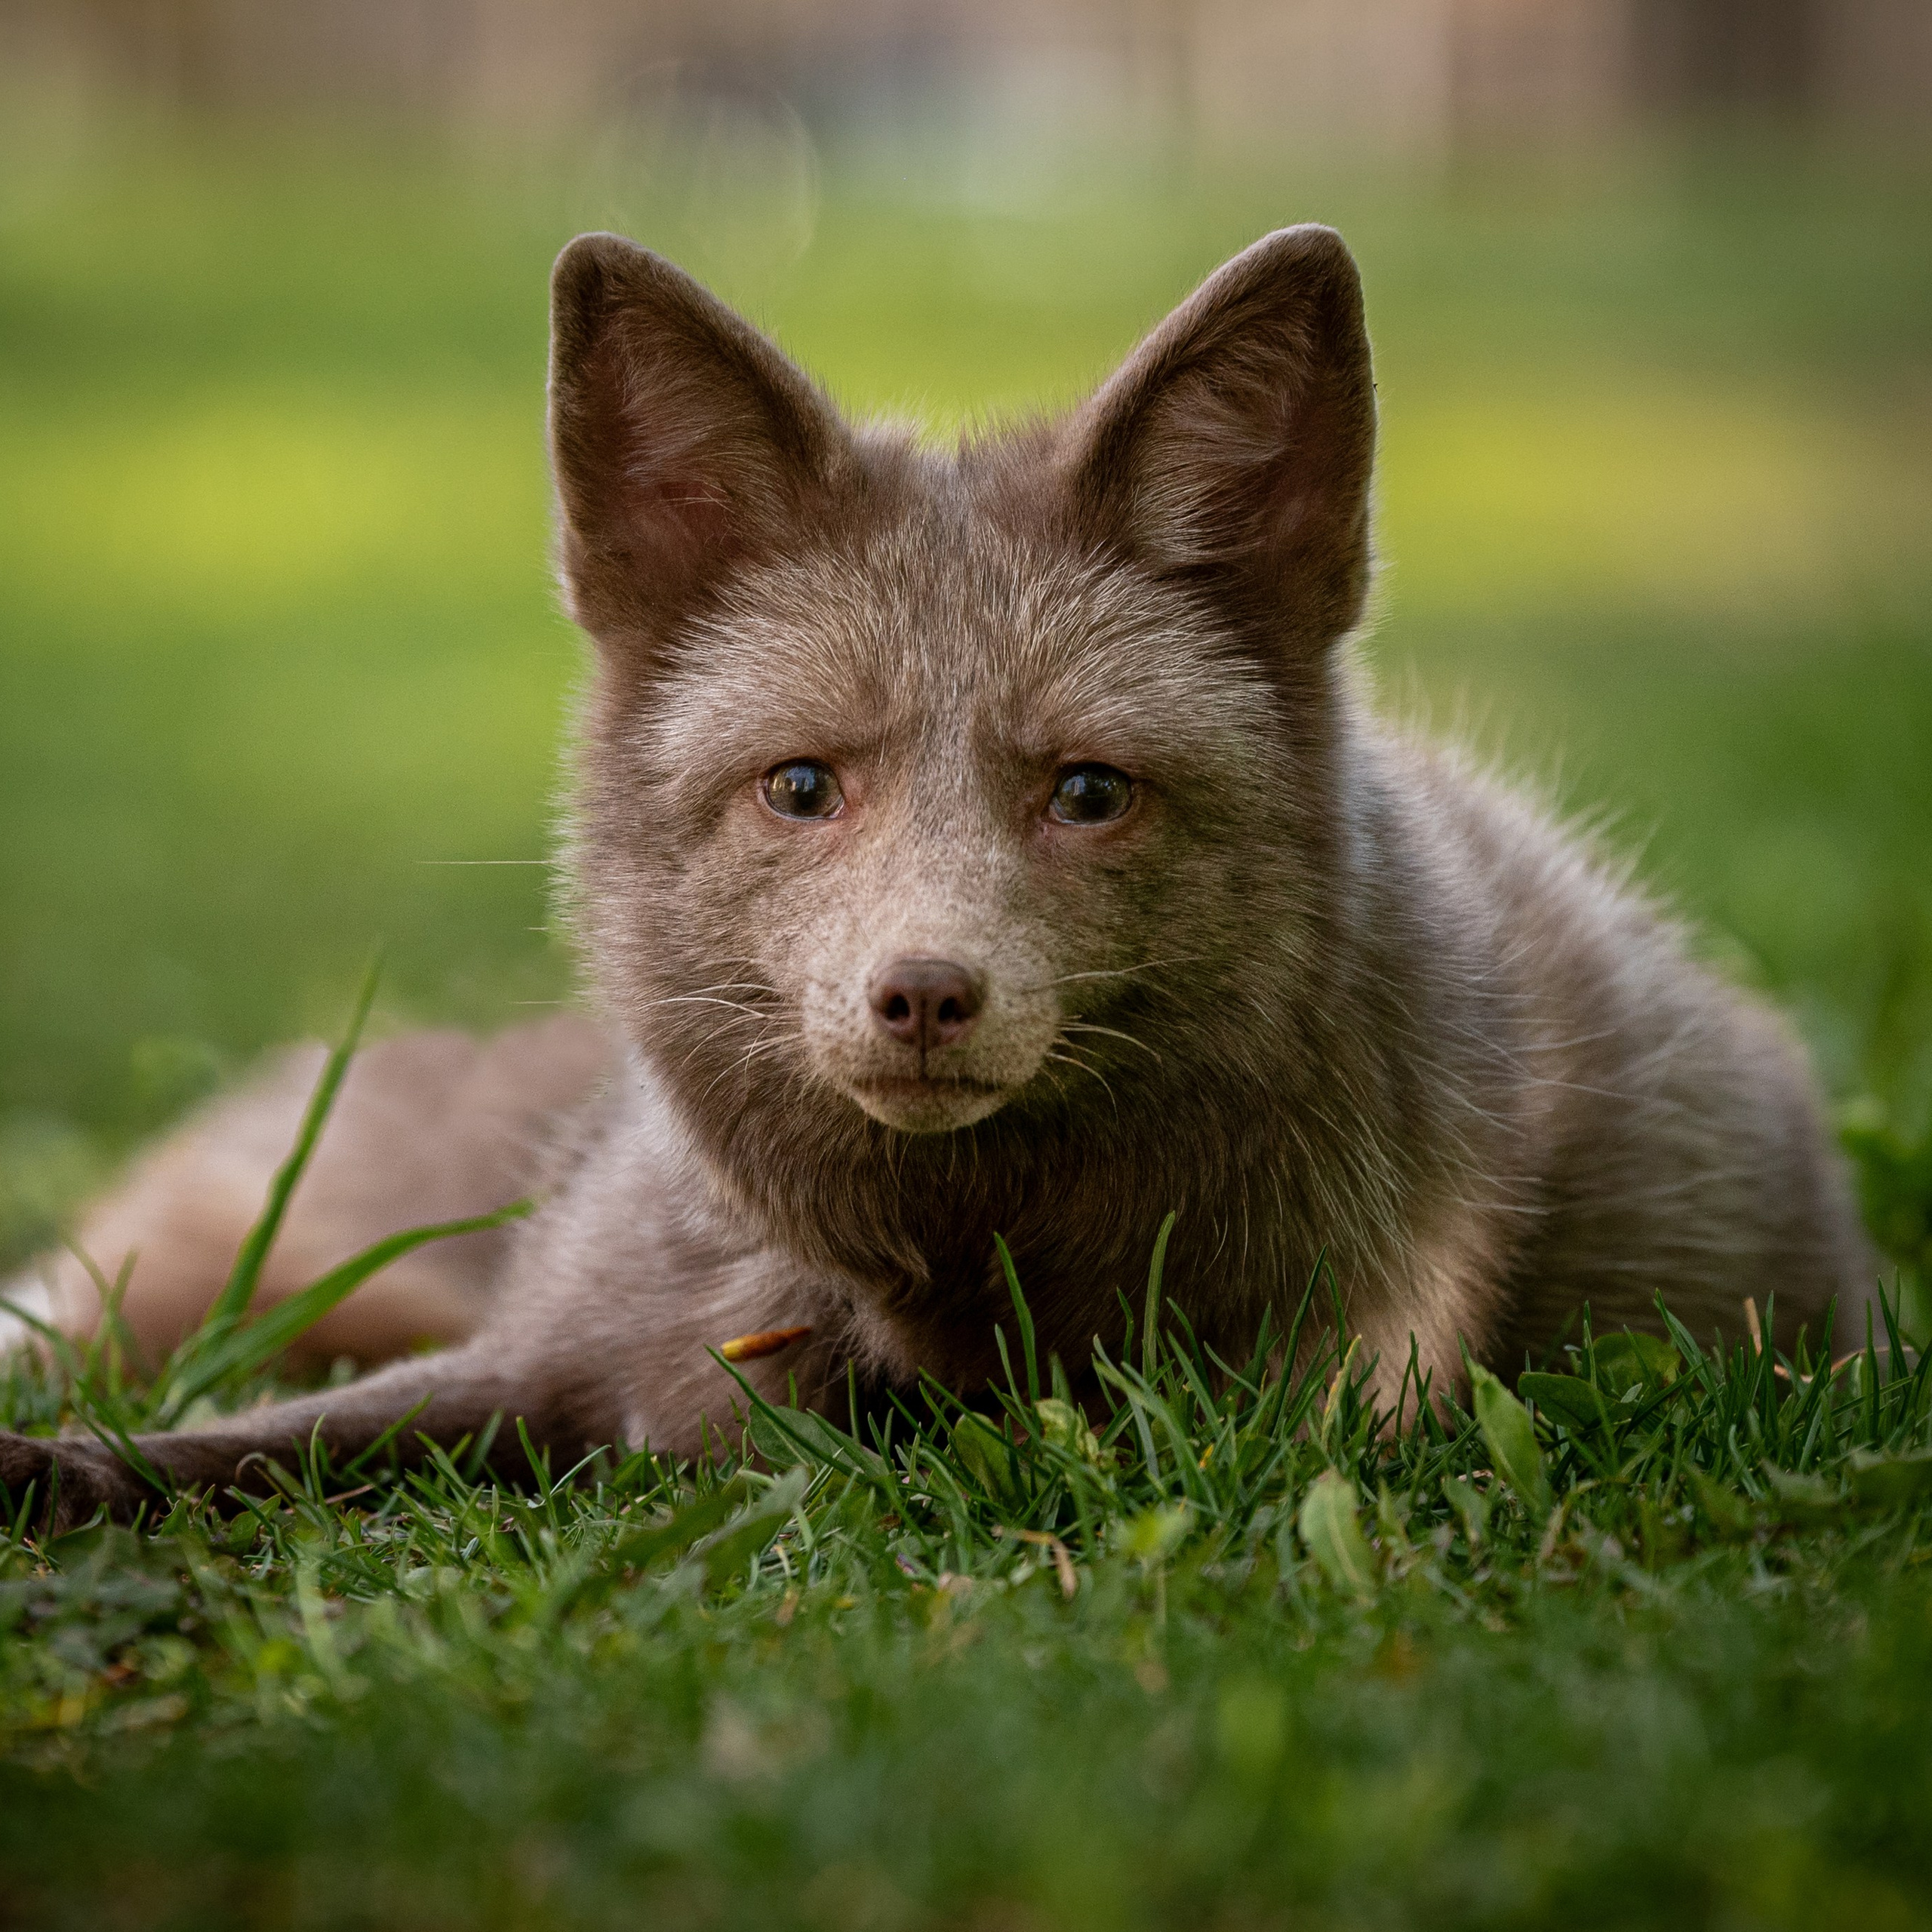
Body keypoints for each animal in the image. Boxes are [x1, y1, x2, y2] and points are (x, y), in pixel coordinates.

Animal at [0, 223, 1873, 1527]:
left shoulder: (1310, 1386)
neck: (937, 1266)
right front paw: (64, 1474)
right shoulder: (540, 1352)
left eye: (1088, 791)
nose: (921, 994)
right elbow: (240, 1444)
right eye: (800, 786)